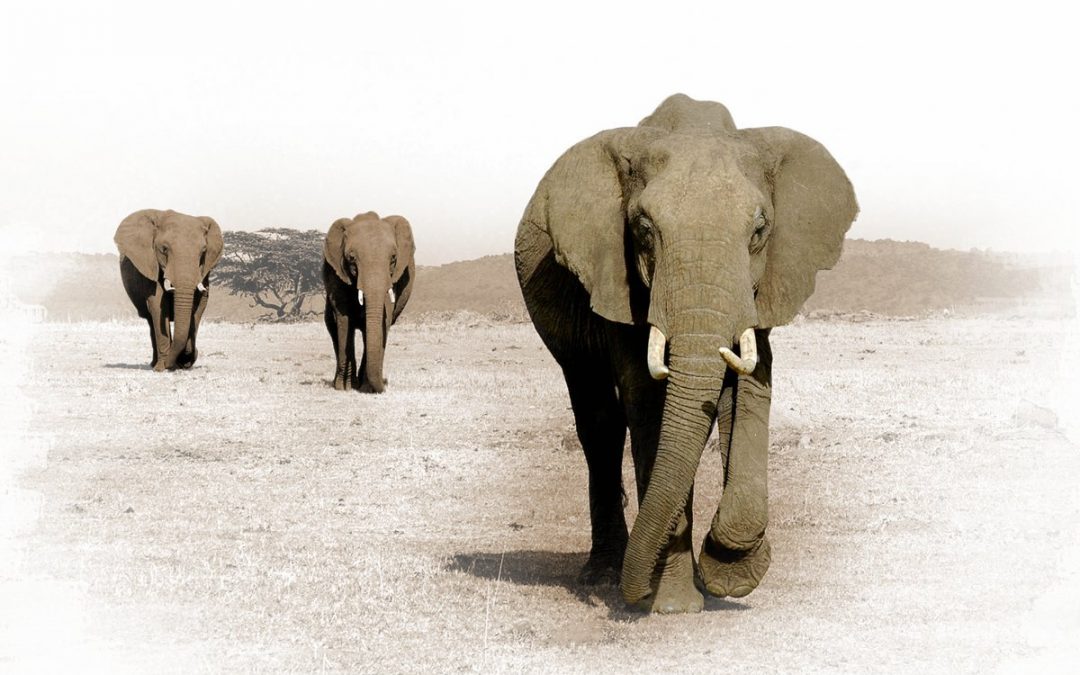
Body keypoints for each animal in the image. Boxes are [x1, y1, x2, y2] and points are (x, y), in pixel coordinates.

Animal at [114, 209, 224, 371]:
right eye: (164, 249)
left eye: (203, 251)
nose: (185, 361)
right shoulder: (150, 264)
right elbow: (158, 305)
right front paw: (163, 368)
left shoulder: (205, 271)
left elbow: (199, 307)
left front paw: (186, 359)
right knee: (151, 321)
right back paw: (155, 364)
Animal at [322, 211, 415, 393]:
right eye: (351, 258)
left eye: (393, 258)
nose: (384, 386)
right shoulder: (337, 274)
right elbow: (344, 320)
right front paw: (346, 387)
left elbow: (383, 320)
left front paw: (367, 388)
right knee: (333, 328)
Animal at [514, 94, 857, 613]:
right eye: (642, 229)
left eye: (759, 230)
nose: (635, 595)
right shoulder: (619, 278)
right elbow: (648, 403)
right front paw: (673, 604)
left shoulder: (762, 285)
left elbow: (749, 389)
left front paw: (729, 572)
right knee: (598, 417)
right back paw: (604, 574)